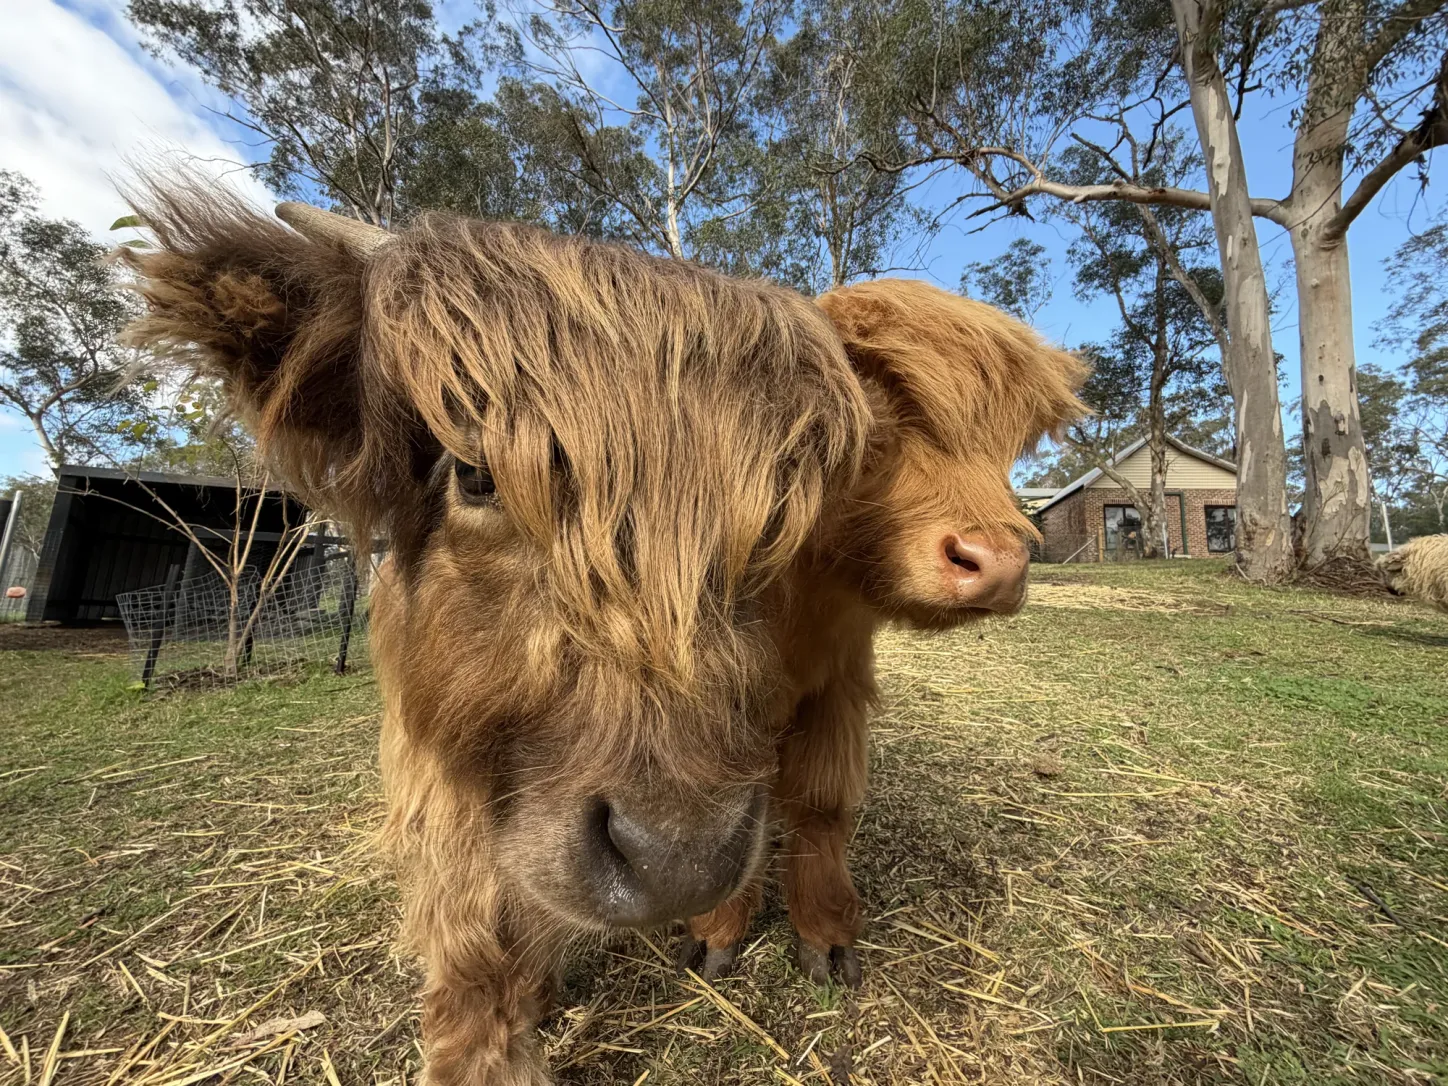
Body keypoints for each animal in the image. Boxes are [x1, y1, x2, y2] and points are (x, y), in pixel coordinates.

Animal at [121, 185, 871, 1086]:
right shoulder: (439, 765)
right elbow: (475, 938)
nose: (678, 857)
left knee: (820, 802)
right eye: (476, 475)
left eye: (778, 513)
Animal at [681, 280, 1088, 987]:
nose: (996, 565)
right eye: (871, 400)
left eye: (1009, 438)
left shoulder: (839, 685)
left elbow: (822, 801)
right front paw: (716, 932)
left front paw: (824, 934)